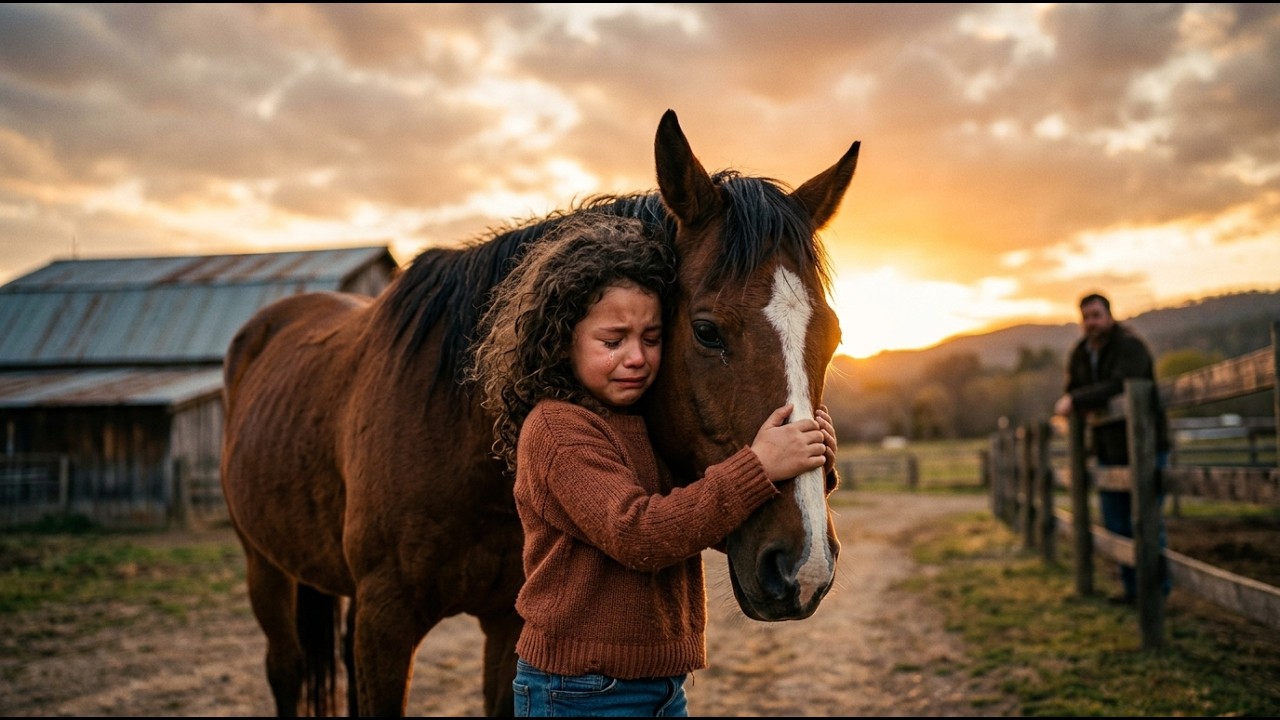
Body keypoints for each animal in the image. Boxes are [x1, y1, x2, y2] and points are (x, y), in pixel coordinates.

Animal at [220, 109, 860, 716]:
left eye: (832, 336)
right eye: (706, 331)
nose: (804, 567)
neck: (467, 436)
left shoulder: (510, 622)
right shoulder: (386, 623)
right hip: (263, 566)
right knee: (285, 670)